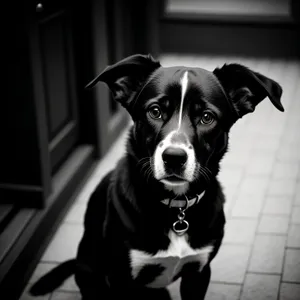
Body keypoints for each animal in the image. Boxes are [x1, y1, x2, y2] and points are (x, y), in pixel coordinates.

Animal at [30, 54, 284, 300]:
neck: (176, 208)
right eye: (155, 111)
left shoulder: (199, 272)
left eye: (206, 117)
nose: (174, 157)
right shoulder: (122, 278)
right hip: (90, 273)